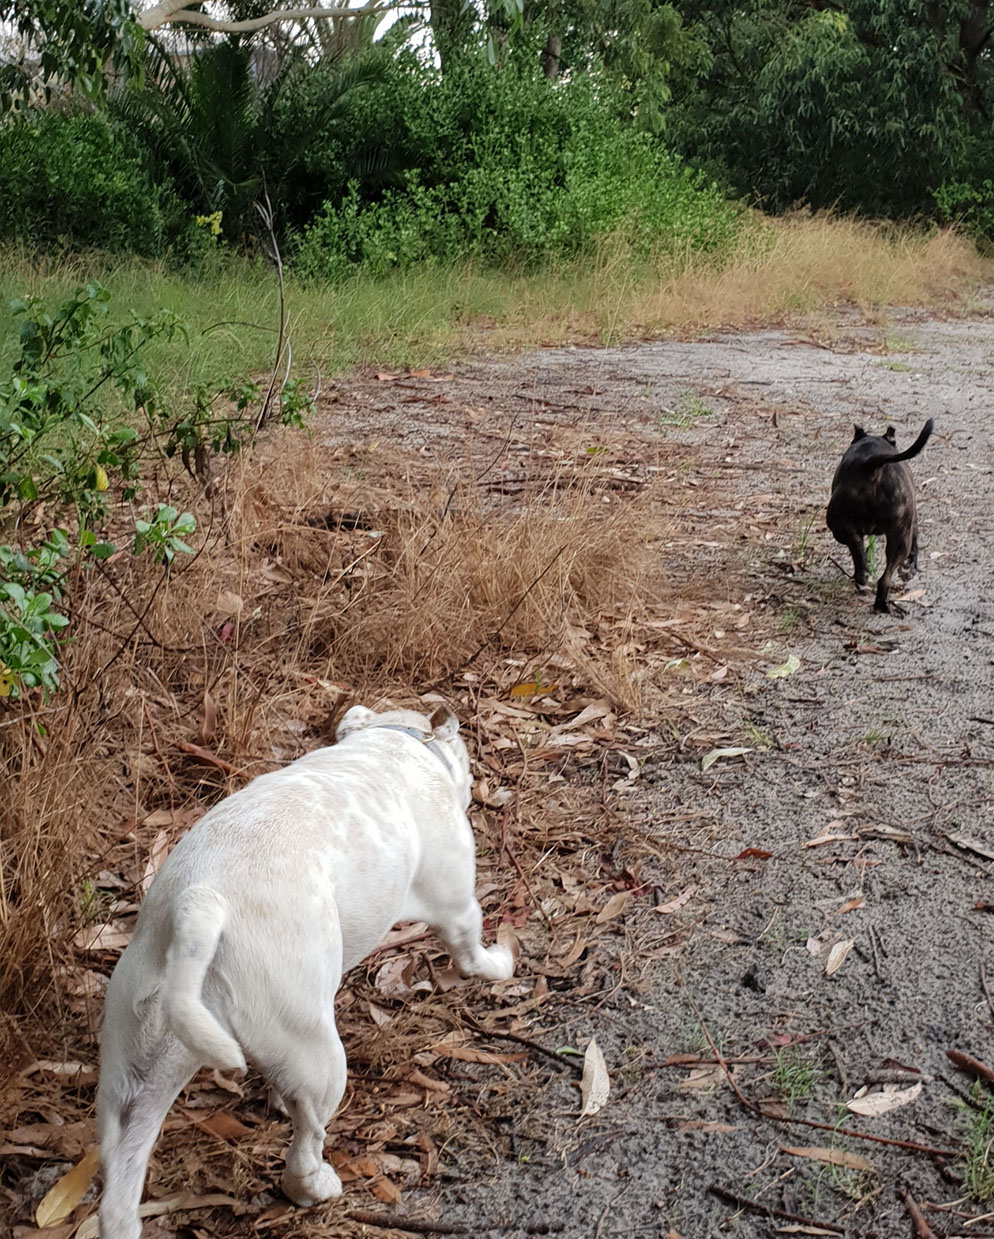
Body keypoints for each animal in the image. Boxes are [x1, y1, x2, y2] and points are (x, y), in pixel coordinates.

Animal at [94, 708, 510, 1239]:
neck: (391, 741)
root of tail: (200, 903)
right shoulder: (457, 906)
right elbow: (472, 950)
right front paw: (500, 963)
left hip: (140, 1066)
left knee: (122, 1173)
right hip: (319, 1060)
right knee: (307, 1140)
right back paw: (315, 1187)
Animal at [822, 418, 932, 612]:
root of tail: (872, 465)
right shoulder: (912, 524)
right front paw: (910, 568)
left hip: (844, 528)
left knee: (860, 556)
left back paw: (865, 584)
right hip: (897, 537)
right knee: (883, 577)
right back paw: (879, 599)